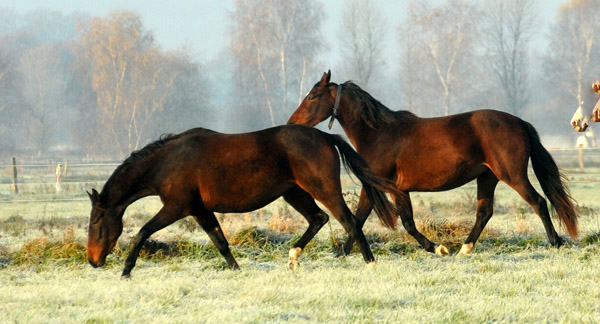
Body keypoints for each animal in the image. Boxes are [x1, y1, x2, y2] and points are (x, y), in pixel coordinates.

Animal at [86, 125, 400, 278]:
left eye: (96, 222)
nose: (93, 261)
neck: (168, 162)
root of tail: (324, 135)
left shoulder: (176, 207)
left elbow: (142, 232)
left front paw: (126, 271)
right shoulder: (200, 210)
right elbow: (220, 241)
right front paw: (236, 270)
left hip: (324, 190)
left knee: (350, 222)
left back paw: (370, 264)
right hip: (294, 193)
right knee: (318, 219)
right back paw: (293, 258)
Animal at [288, 70, 580, 256]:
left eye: (312, 96)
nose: (291, 123)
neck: (379, 133)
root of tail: (520, 122)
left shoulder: (376, 184)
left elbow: (359, 218)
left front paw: (341, 253)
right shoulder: (399, 189)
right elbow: (405, 222)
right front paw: (438, 248)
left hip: (513, 175)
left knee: (539, 202)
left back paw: (555, 242)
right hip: (487, 177)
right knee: (484, 213)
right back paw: (464, 250)